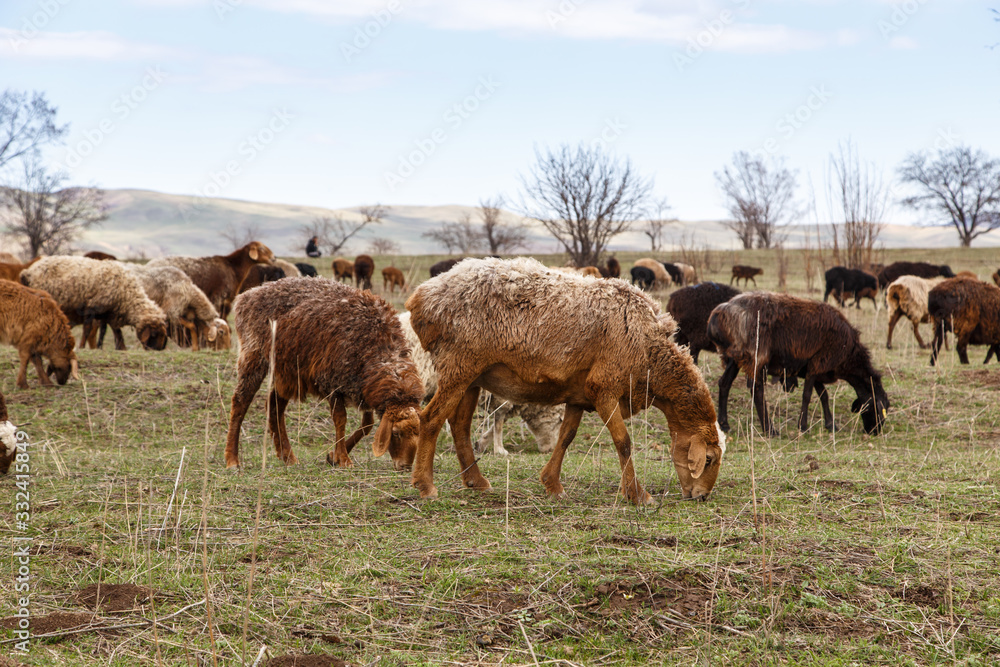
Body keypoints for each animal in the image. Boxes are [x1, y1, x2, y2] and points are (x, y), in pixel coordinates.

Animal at [20, 256, 169, 351]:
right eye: (154, 334)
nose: (158, 350)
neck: (125, 293)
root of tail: (28, 272)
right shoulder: (91, 307)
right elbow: (87, 329)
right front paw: (81, 347)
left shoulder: (111, 313)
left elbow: (117, 332)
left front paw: (122, 348)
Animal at [224, 277, 423, 470]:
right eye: (396, 433)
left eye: (418, 435)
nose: (405, 466)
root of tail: (248, 295)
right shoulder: (332, 382)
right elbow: (340, 420)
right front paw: (343, 458)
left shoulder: (361, 387)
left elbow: (367, 423)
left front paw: (333, 456)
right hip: (254, 355)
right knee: (240, 402)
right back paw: (232, 460)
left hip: (287, 372)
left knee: (274, 406)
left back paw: (288, 457)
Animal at [397, 311, 563, 456]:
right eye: (560, 420)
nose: (549, 450)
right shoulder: (501, 397)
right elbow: (499, 422)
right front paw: (500, 449)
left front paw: (482, 443)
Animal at [708, 292, 889, 436]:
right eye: (879, 408)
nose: (874, 431)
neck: (849, 355)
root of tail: (718, 314)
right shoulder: (819, 363)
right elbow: (807, 395)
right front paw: (803, 426)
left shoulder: (814, 366)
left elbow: (823, 395)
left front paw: (830, 425)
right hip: (756, 355)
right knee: (756, 389)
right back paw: (770, 430)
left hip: (736, 356)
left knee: (724, 383)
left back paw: (724, 425)